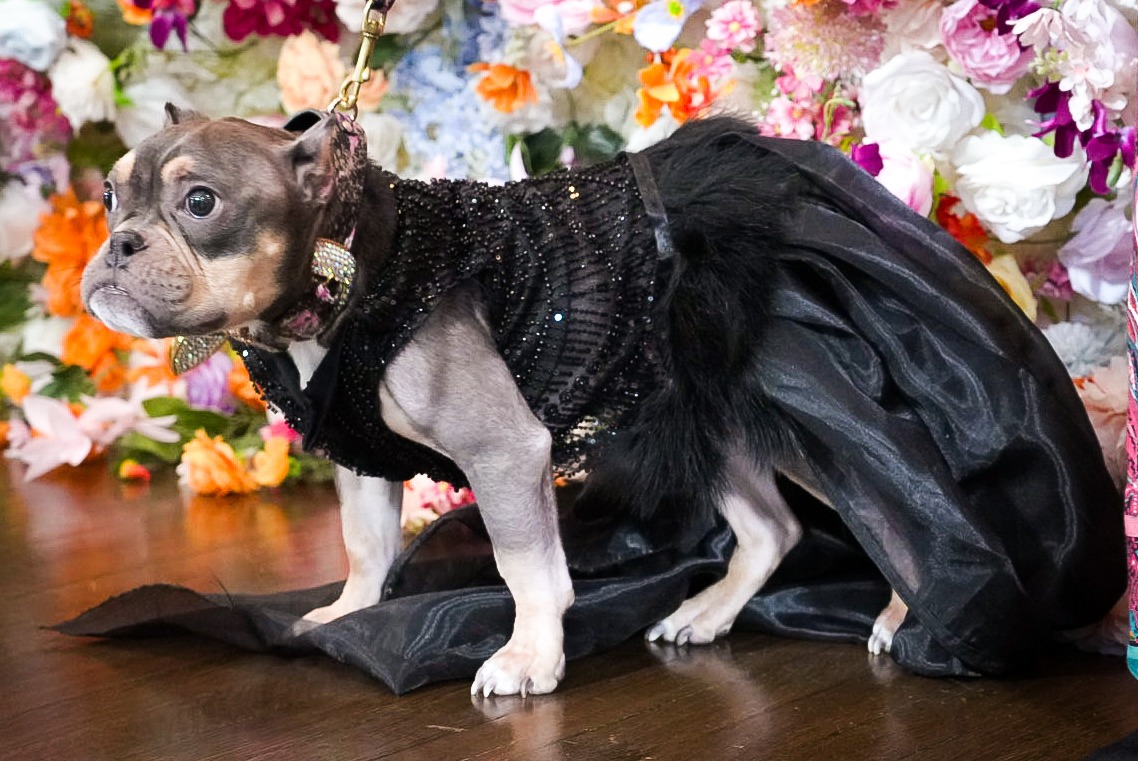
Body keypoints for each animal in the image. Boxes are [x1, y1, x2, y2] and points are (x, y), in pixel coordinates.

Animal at [80, 105, 1116, 695]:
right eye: (109, 196)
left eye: (202, 204)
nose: (119, 243)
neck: (353, 271)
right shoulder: (361, 454)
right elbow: (366, 545)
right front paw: (349, 613)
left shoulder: (504, 451)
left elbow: (527, 566)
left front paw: (529, 658)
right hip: (693, 412)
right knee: (771, 527)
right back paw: (710, 611)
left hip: (804, 404)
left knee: (892, 500)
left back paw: (915, 613)